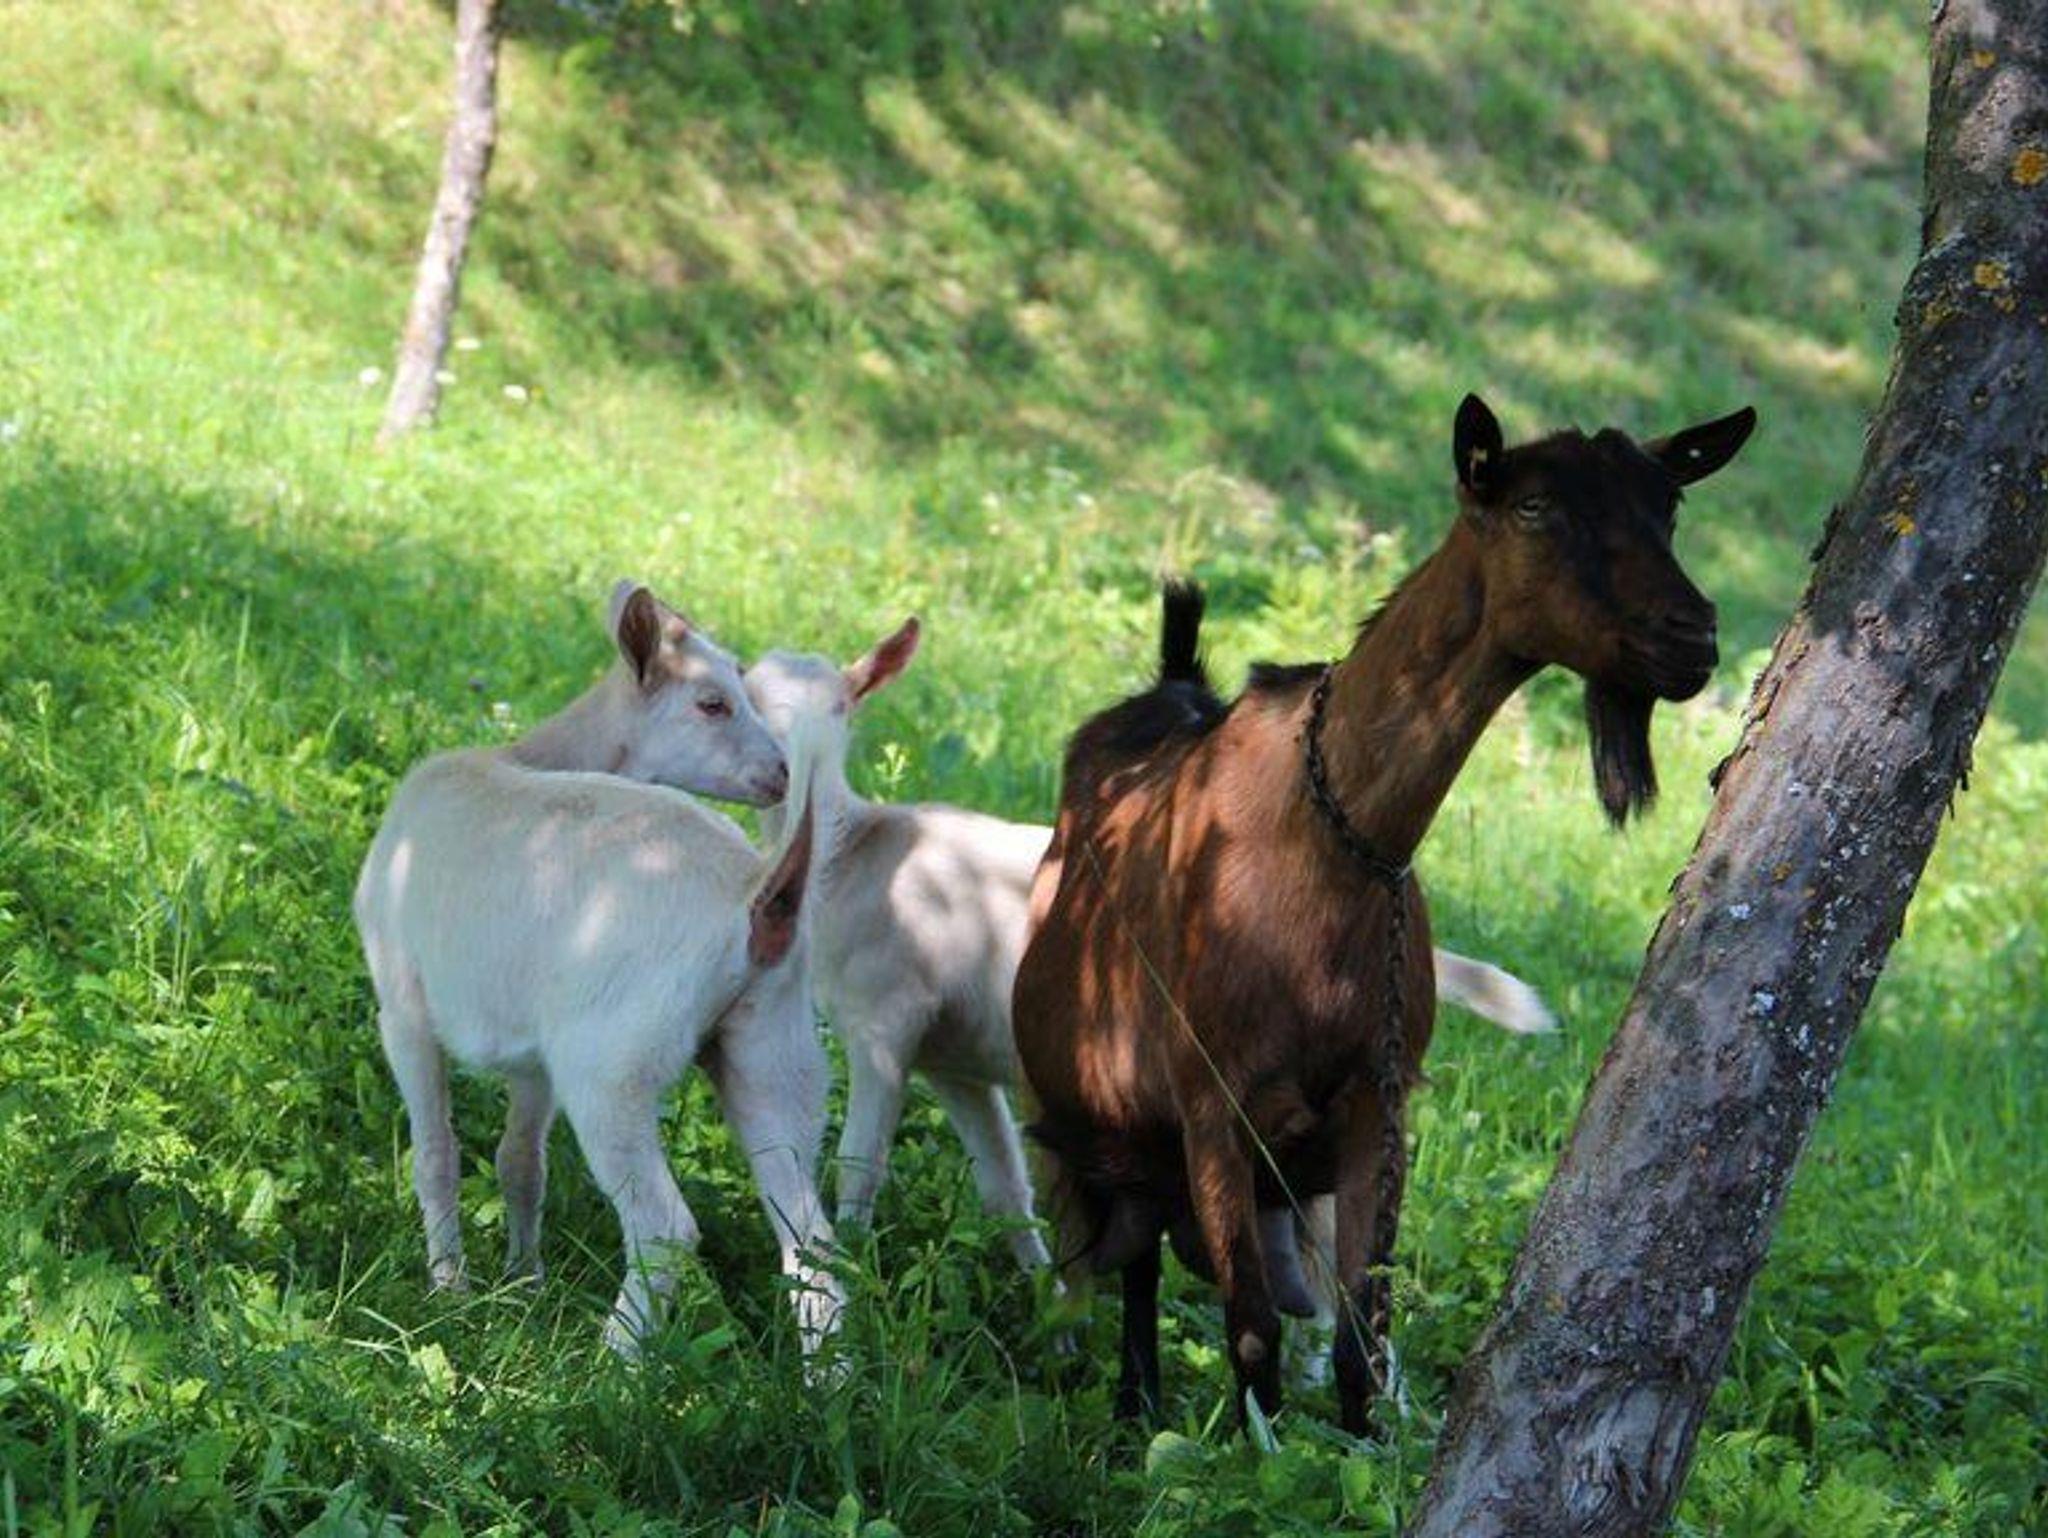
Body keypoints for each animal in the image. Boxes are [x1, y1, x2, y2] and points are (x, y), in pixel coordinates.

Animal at [354, 581, 841, 1356]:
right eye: (713, 702)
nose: (783, 774)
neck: (520, 756)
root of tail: (758, 890)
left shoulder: (403, 1006)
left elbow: (437, 1156)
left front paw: (448, 1292)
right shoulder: (535, 1057)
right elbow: (520, 1164)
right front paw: (523, 1284)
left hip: (612, 1064)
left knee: (665, 1228)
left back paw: (611, 1361)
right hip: (776, 1054)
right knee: (810, 1240)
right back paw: (831, 1378)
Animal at [742, 618, 1559, 1292]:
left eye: (839, 708)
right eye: (750, 693)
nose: (782, 769)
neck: (850, 852)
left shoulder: (886, 1019)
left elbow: (859, 1165)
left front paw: (852, 1261)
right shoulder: (954, 1059)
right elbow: (1006, 1190)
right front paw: (1047, 1302)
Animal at [1011, 395, 1755, 1431]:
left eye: (1670, 508)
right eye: (1533, 508)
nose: (1691, 637)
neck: (1324, 836)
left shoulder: (1379, 1098)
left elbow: (1362, 1344)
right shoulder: (1212, 1103)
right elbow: (1252, 1335)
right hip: (1098, 1118)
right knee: (1136, 1261)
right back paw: (1135, 1407)